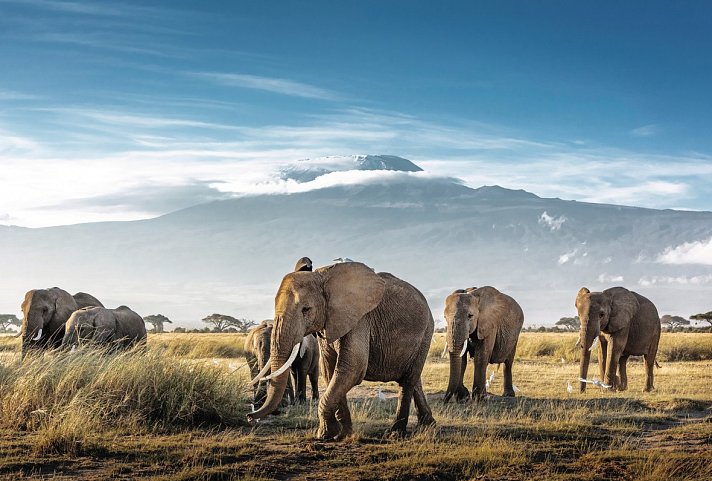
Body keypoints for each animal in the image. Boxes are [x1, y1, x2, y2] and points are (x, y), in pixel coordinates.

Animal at [248, 260, 434, 440]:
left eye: (306, 309)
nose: (250, 416)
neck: (322, 276)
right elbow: (331, 371)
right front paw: (343, 434)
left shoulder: (360, 319)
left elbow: (352, 368)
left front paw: (325, 435)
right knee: (413, 378)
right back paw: (428, 424)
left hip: (426, 332)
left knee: (408, 380)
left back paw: (396, 434)